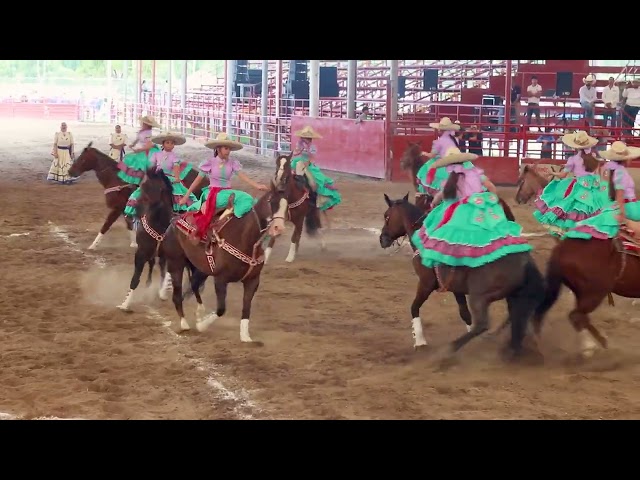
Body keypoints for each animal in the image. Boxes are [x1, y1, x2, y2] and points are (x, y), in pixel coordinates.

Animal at [69, 143, 210, 251]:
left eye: (82, 159)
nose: (70, 172)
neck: (117, 179)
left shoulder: (116, 209)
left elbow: (106, 226)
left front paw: (93, 245)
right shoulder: (123, 208)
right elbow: (129, 225)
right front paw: (134, 243)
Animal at [116, 168, 174, 312]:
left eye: (148, 186)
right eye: (141, 185)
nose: (133, 206)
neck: (159, 225)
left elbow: (165, 273)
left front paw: (163, 292)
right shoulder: (141, 253)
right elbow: (135, 279)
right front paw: (124, 304)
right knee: (152, 263)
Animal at [160, 180, 290, 342]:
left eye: (287, 206)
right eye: (272, 202)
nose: (278, 228)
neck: (246, 240)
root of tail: (174, 221)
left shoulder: (253, 281)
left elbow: (246, 308)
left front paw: (245, 336)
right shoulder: (220, 280)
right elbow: (221, 309)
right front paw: (202, 326)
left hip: (201, 269)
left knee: (193, 286)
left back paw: (199, 312)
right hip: (176, 264)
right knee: (177, 295)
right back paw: (184, 324)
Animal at [378, 192, 548, 360]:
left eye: (386, 216)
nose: (382, 239)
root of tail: (525, 261)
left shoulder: (426, 283)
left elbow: (414, 307)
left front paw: (419, 342)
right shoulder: (455, 288)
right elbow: (464, 314)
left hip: (480, 296)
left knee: (483, 324)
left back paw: (449, 350)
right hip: (511, 295)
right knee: (513, 317)